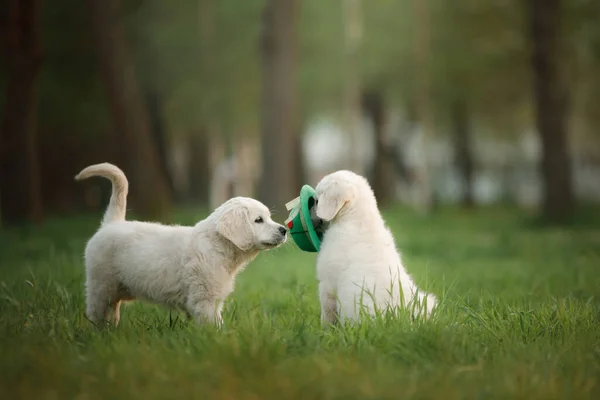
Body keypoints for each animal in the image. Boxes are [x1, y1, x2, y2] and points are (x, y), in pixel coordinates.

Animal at [74, 162, 286, 328]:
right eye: (258, 220)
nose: (284, 230)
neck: (217, 246)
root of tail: (111, 223)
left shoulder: (215, 300)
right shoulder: (203, 299)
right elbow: (211, 325)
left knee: (112, 312)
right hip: (100, 285)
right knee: (96, 313)